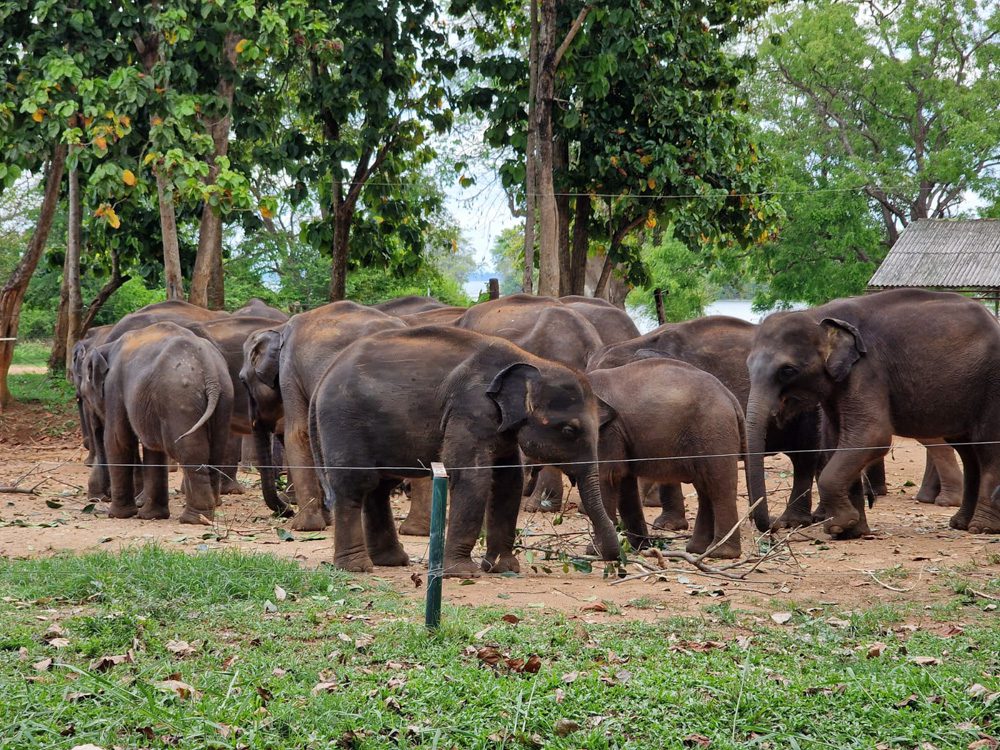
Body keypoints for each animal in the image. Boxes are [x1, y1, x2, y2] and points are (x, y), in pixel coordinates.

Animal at [79, 322, 233, 523]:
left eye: (84, 395)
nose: (100, 498)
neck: (107, 346)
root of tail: (208, 368)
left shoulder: (114, 387)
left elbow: (117, 440)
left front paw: (118, 515)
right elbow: (152, 449)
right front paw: (151, 516)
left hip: (179, 399)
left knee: (189, 452)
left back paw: (193, 518)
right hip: (224, 397)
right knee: (216, 451)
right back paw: (210, 510)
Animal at [240, 301, 406, 530]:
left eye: (242, 380)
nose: (288, 511)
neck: (279, 328)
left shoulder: (290, 372)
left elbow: (299, 434)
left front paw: (305, 526)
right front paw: (326, 520)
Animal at [308, 325, 621, 576]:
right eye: (569, 430)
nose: (613, 560)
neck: (531, 361)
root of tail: (324, 376)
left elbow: (508, 482)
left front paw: (504, 568)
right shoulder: (470, 409)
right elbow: (472, 476)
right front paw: (463, 573)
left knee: (380, 487)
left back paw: (392, 561)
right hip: (343, 422)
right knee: (356, 484)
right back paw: (356, 567)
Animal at [588, 358, 748, 559]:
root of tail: (731, 397)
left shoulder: (607, 431)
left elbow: (608, 477)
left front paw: (595, 551)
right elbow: (624, 482)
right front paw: (638, 547)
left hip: (714, 431)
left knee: (718, 486)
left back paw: (720, 553)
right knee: (705, 487)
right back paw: (697, 549)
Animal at [745, 288, 1000, 538]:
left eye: (787, 370)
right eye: (748, 366)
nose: (774, 526)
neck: (818, 313)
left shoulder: (867, 370)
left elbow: (872, 436)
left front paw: (840, 524)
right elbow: (837, 440)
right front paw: (849, 532)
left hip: (992, 386)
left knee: (987, 447)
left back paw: (982, 528)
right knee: (968, 452)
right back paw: (960, 524)